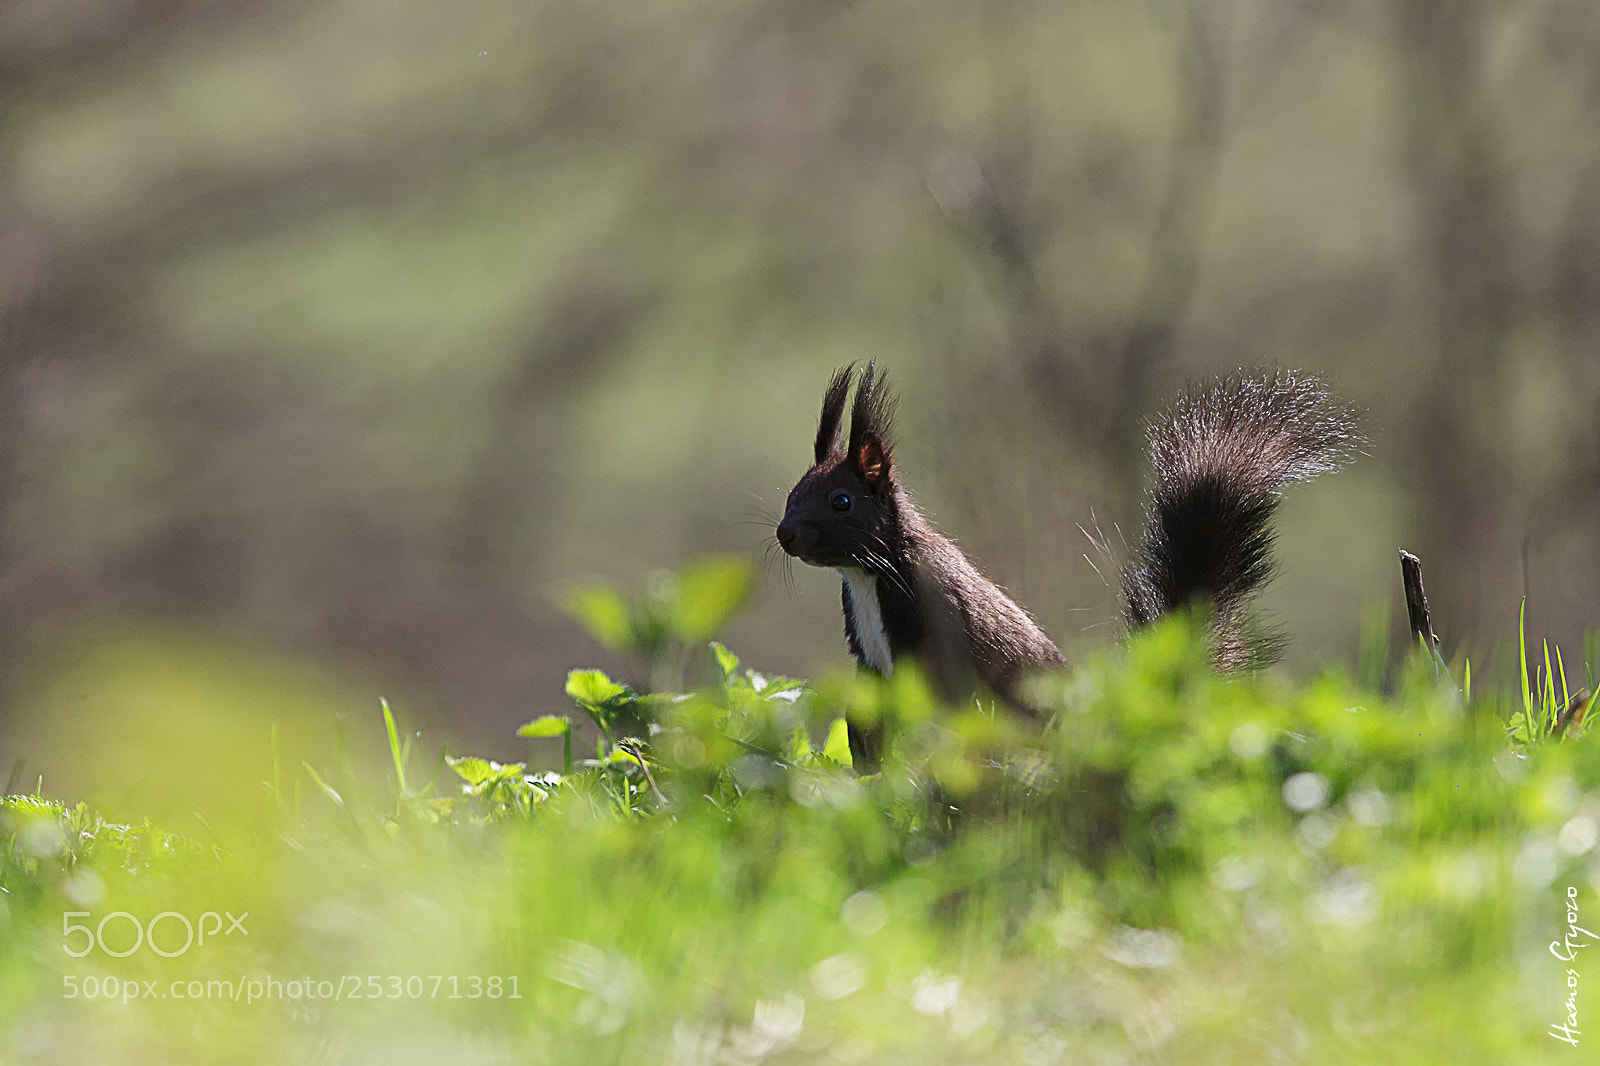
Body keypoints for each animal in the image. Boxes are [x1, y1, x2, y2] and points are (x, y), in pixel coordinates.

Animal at [775, 362, 1362, 769]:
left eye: (842, 501)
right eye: (792, 491)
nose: (785, 535)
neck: (871, 573)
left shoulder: (934, 627)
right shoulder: (870, 663)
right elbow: (867, 724)